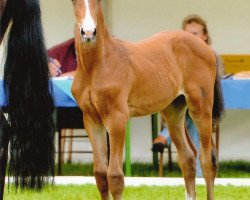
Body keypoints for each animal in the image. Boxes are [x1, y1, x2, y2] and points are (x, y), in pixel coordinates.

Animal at [71, 0, 225, 199]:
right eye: (74, 2)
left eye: (98, 2)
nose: (88, 32)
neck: (98, 65)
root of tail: (206, 47)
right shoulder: (91, 119)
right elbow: (100, 176)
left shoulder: (117, 119)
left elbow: (115, 177)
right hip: (173, 111)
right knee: (188, 158)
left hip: (201, 108)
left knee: (206, 161)